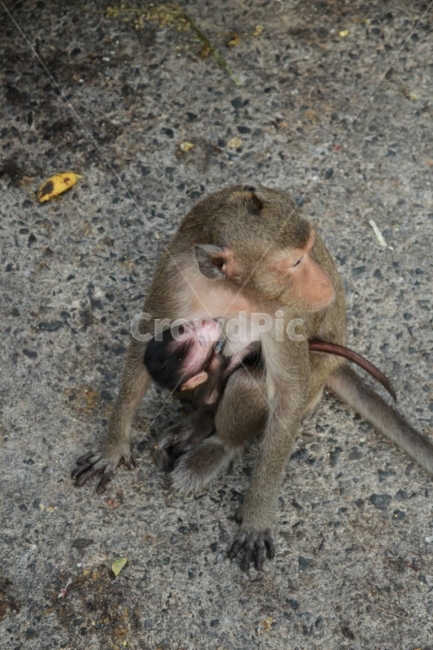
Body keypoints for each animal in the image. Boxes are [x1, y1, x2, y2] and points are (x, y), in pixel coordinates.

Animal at [72, 185, 433, 572]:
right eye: (296, 262)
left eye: (310, 250)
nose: (324, 283)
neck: (235, 289)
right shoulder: (174, 278)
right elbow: (143, 346)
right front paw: (112, 447)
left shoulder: (285, 310)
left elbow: (288, 392)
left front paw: (257, 515)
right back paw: (200, 421)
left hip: (317, 376)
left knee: (253, 384)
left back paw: (217, 446)